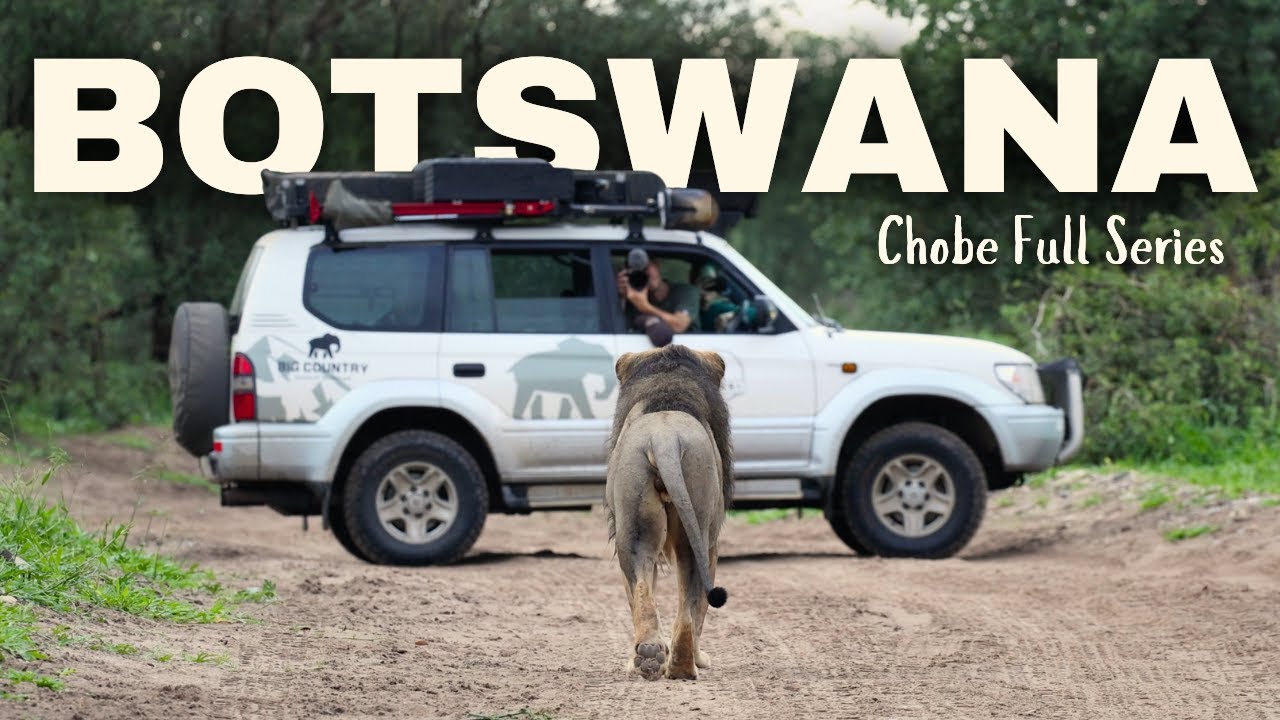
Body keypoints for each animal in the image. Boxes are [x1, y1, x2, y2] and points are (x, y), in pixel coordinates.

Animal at [605, 343, 732, 681]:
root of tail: (664, 438)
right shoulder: (712, 544)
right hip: (697, 528)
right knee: (691, 602)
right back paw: (685, 666)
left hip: (634, 524)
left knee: (641, 586)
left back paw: (653, 658)